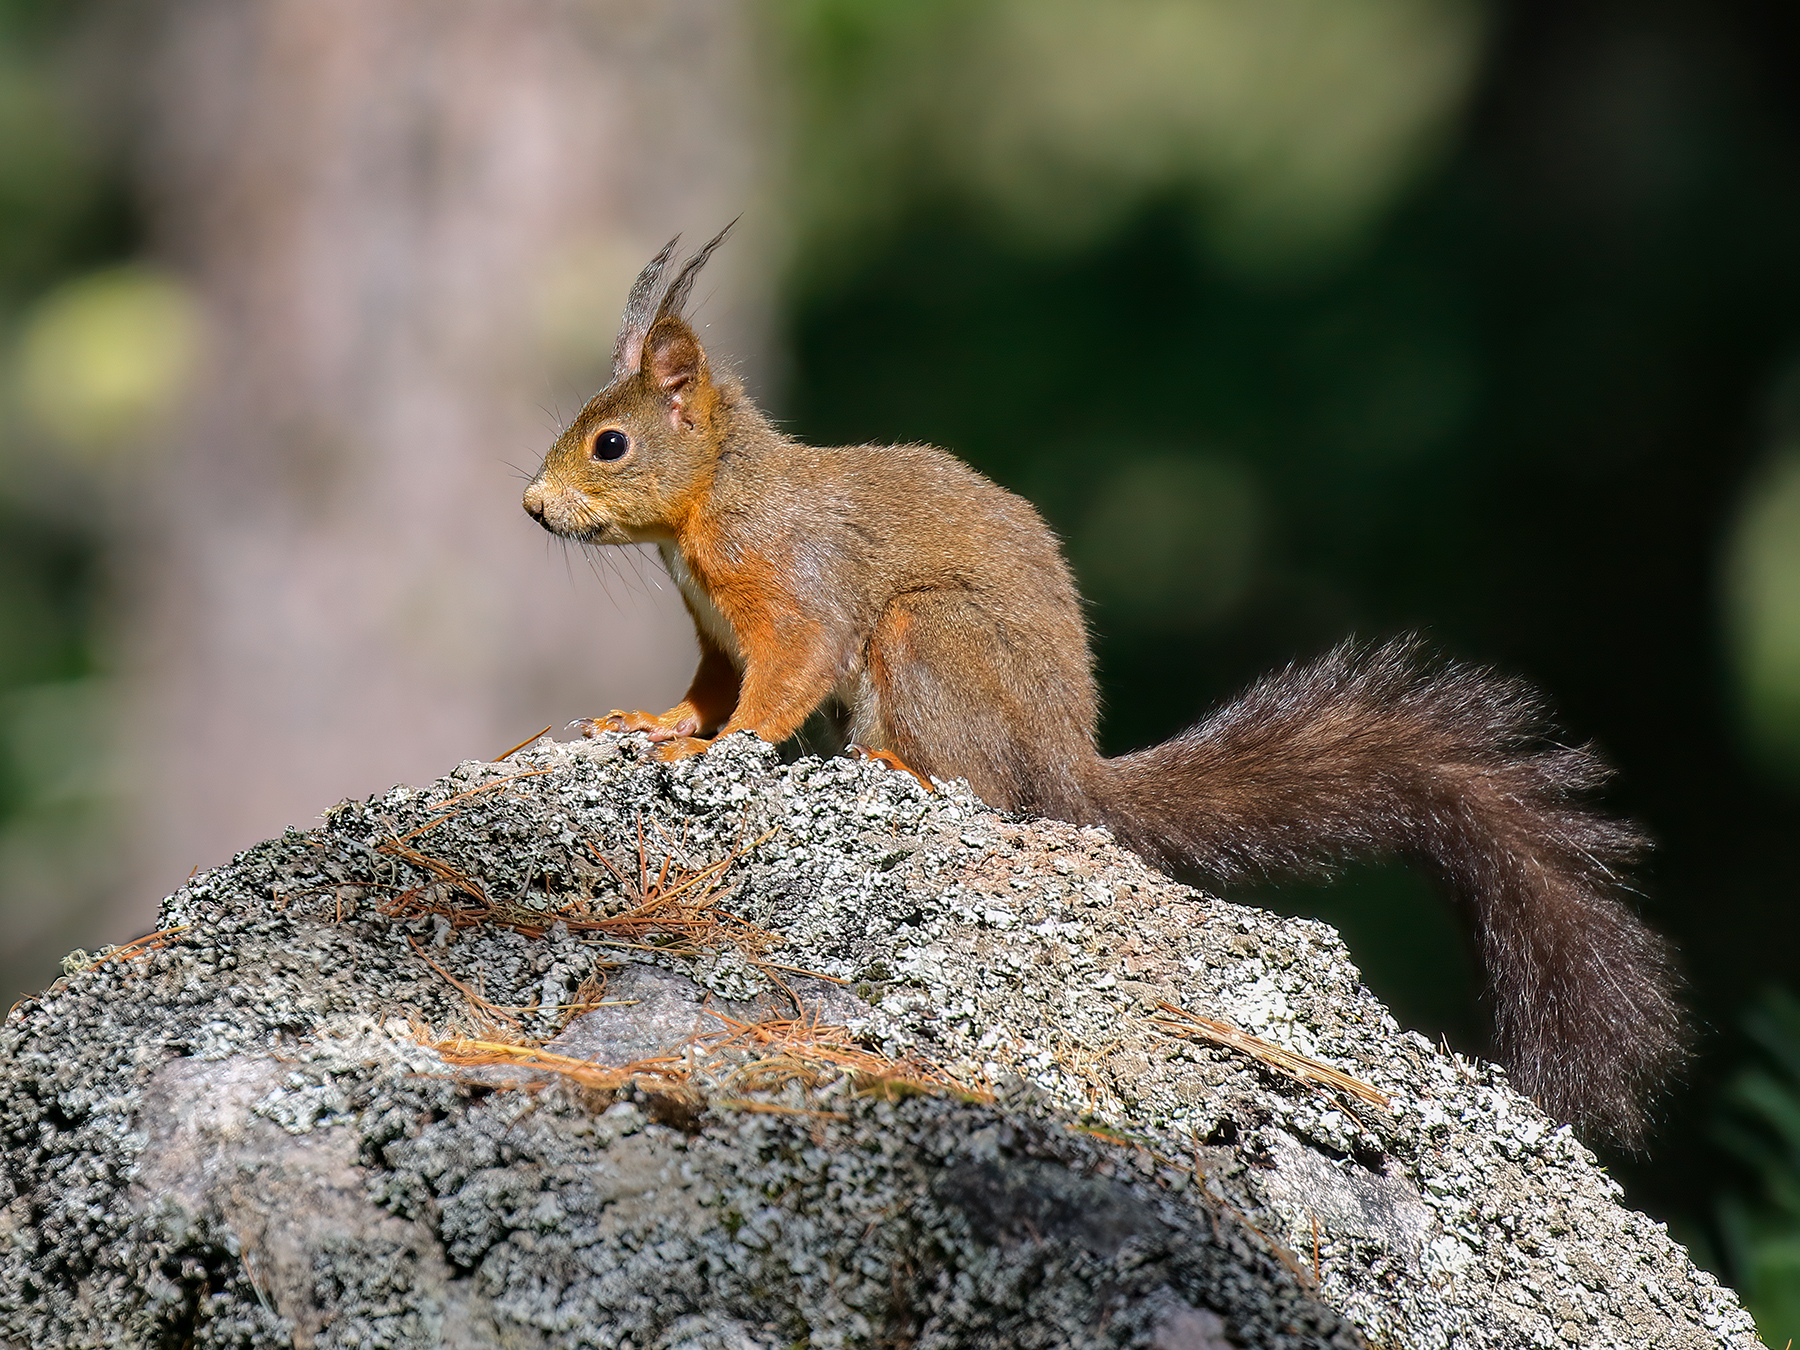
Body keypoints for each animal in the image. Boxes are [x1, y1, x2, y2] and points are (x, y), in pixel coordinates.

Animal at [522, 225, 1688, 1144]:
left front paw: (722, 751)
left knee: (988, 786)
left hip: (929, 636)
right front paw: (656, 719)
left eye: (611, 443)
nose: (532, 508)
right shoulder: (717, 635)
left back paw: (902, 767)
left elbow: (783, 680)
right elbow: (706, 685)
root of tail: (1069, 764)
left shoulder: (797, 592)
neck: (712, 506)